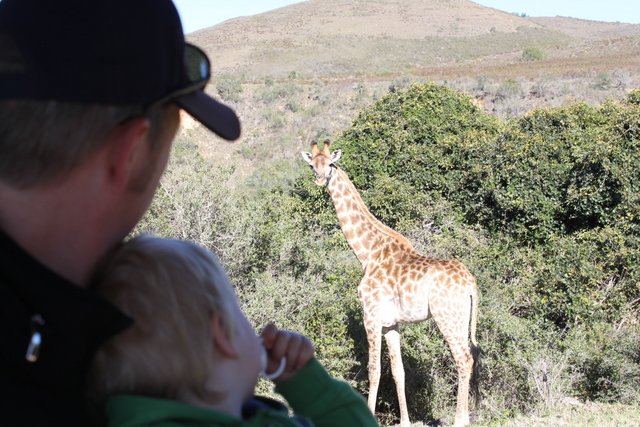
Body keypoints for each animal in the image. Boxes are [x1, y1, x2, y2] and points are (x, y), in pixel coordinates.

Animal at [302, 142, 480, 427]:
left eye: (330, 164)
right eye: (312, 165)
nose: (319, 180)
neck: (367, 253)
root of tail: (471, 284)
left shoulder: (370, 316)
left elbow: (374, 370)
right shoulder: (391, 323)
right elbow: (398, 371)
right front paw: (405, 421)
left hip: (447, 317)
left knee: (463, 359)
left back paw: (460, 420)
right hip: (462, 318)